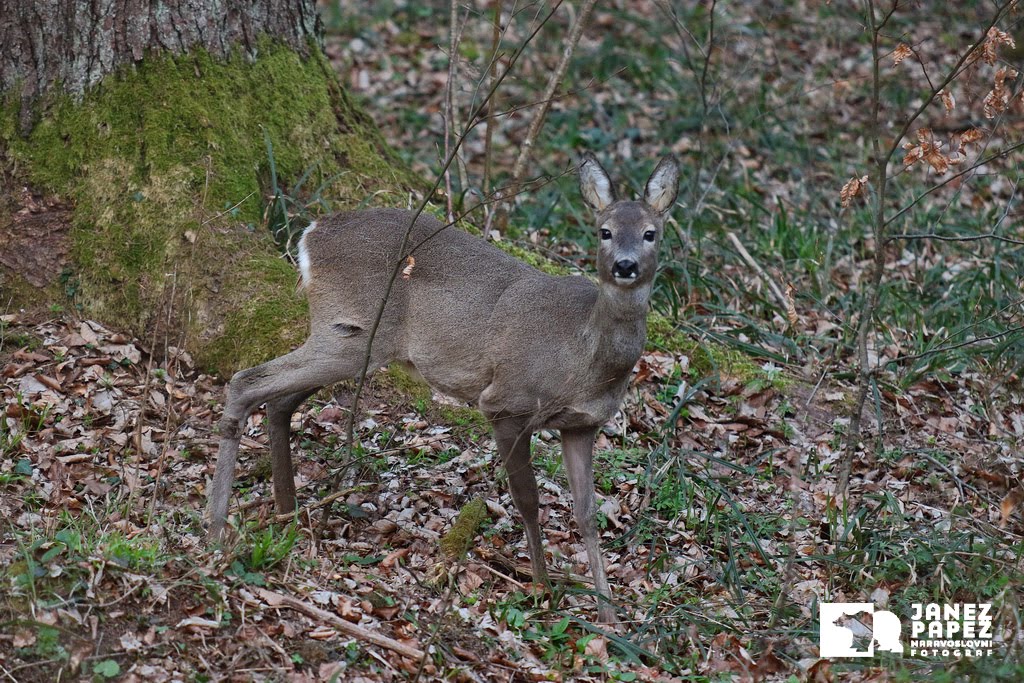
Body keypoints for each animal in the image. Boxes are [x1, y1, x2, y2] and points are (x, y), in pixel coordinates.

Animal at [207, 154, 679, 626]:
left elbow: (587, 514)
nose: (624, 265)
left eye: (650, 232)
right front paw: (544, 588)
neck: (584, 357)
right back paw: (215, 527)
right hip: (352, 331)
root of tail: (311, 233)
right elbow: (527, 499)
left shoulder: (582, 426)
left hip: (348, 341)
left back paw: (285, 513)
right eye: (605, 231)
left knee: (278, 399)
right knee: (246, 381)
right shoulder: (505, 402)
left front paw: (608, 614)